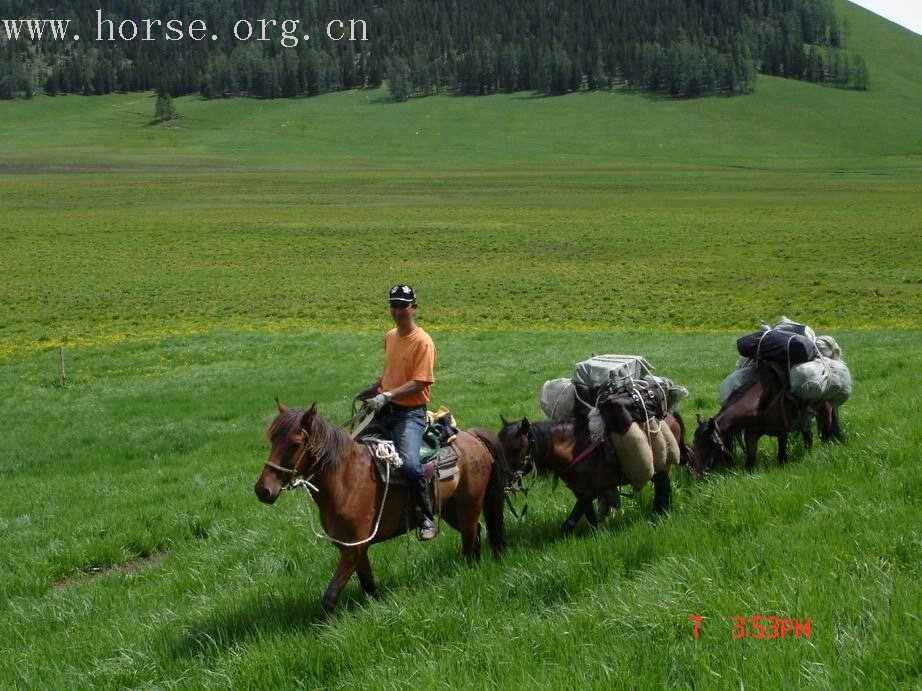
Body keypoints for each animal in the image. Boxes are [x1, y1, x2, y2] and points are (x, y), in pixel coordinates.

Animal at [252, 402, 506, 612]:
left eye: (295, 444)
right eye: (272, 439)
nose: (263, 490)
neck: (345, 478)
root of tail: (472, 436)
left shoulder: (353, 549)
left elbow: (330, 596)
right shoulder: (355, 548)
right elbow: (367, 584)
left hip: (468, 507)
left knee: (470, 538)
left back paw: (469, 569)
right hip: (453, 510)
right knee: (476, 532)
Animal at [500, 410, 688, 536]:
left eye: (516, 448)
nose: (505, 480)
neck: (573, 448)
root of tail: (670, 415)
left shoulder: (589, 492)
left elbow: (570, 522)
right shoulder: (582, 491)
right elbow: (590, 517)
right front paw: (598, 534)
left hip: (663, 466)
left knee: (663, 489)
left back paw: (660, 515)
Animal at [688, 362, 840, 476]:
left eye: (713, 444)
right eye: (695, 442)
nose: (698, 474)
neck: (762, 403)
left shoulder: (782, 433)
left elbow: (782, 457)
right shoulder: (751, 435)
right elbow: (750, 460)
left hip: (824, 411)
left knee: (825, 432)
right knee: (808, 435)